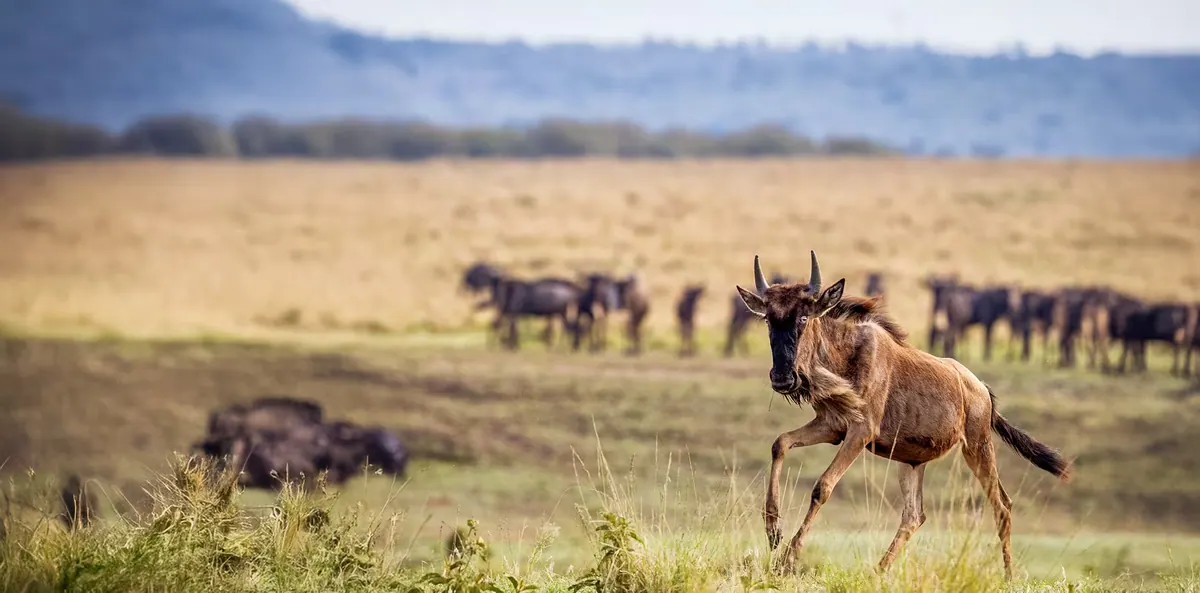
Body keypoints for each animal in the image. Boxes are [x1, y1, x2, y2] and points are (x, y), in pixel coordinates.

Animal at [735, 251, 1072, 578]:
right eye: (768, 320)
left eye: (804, 317)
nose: (782, 378)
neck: (844, 357)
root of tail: (981, 389)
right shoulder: (831, 426)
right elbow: (780, 443)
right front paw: (773, 532)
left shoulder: (860, 431)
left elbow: (823, 487)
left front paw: (787, 560)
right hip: (911, 461)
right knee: (914, 515)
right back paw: (879, 570)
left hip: (977, 446)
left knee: (1002, 505)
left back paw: (1008, 576)